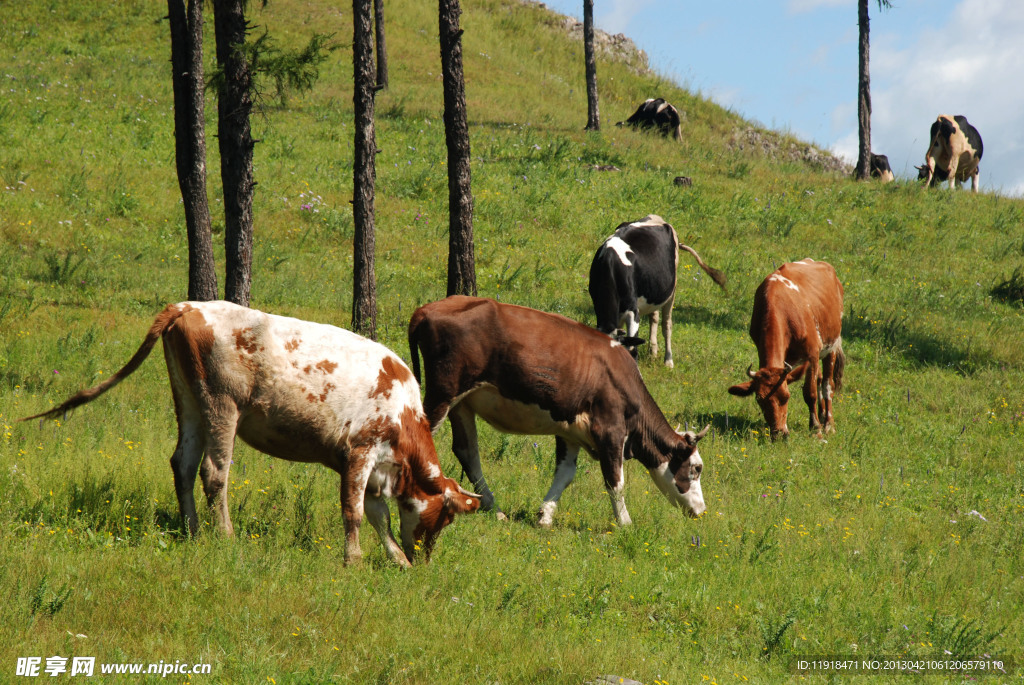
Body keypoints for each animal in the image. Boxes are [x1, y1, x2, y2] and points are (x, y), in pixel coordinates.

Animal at [20, 301, 479, 565]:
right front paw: (354, 560)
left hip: (189, 402)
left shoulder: (375, 467)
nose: (426, 560)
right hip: (221, 404)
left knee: (182, 464)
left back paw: (193, 531)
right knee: (213, 471)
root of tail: (189, 305)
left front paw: (397, 559)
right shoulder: (360, 452)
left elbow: (378, 515)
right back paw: (224, 536)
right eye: (444, 519)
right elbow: (355, 512)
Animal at [403, 294, 708, 528]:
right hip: (444, 392)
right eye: (696, 468)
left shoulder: (570, 431)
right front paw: (625, 523)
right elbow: (615, 480)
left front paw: (545, 516)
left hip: (463, 403)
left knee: (468, 451)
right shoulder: (610, 430)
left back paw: (494, 508)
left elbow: (565, 474)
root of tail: (427, 309)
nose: (702, 511)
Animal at [589, 213, 724, 366]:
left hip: (672, 291)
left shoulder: (633, 311)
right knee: (654, 317)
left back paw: (668, 361)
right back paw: (652, 352)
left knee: (667, 325)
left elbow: (632, 344)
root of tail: (656, 217)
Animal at [724, 259, 843, 440]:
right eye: (759, 399)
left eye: (786, 397)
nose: (779, 433)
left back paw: (828, 424)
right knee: (820, 379)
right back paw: (822, 416)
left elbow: (810, 393)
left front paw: (816, 428)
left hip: (831, 346)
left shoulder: (812, 353)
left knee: (827, 384)